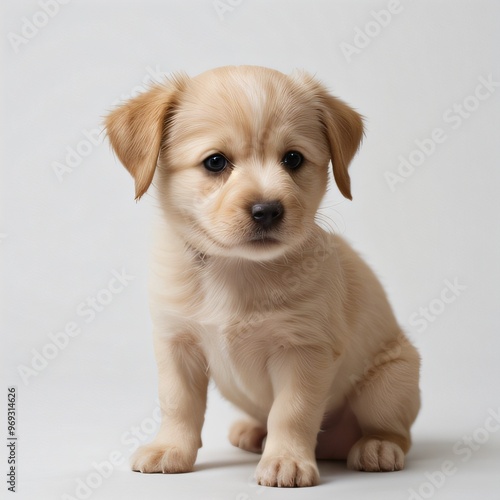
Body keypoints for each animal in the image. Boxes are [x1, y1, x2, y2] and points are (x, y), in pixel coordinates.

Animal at [106, 64, 422, 486]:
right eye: (215, 162)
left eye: (293, 159)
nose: (267, 210)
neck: (236, 268)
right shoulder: (176, 344)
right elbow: (178, 404)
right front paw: (170, 448)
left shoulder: (304, 350)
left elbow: (291, 412)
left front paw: (286, 459)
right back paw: (253, 432)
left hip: (389, 382)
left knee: (396, 431)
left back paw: (378, 446)